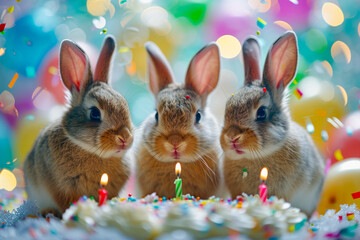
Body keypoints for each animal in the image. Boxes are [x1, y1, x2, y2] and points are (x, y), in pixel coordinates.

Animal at [23, 36, 134, 218]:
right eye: (95, 113)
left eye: (125, 105)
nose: (124, 138)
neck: (91, 150)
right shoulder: (61, 188)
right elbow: (66, 203)